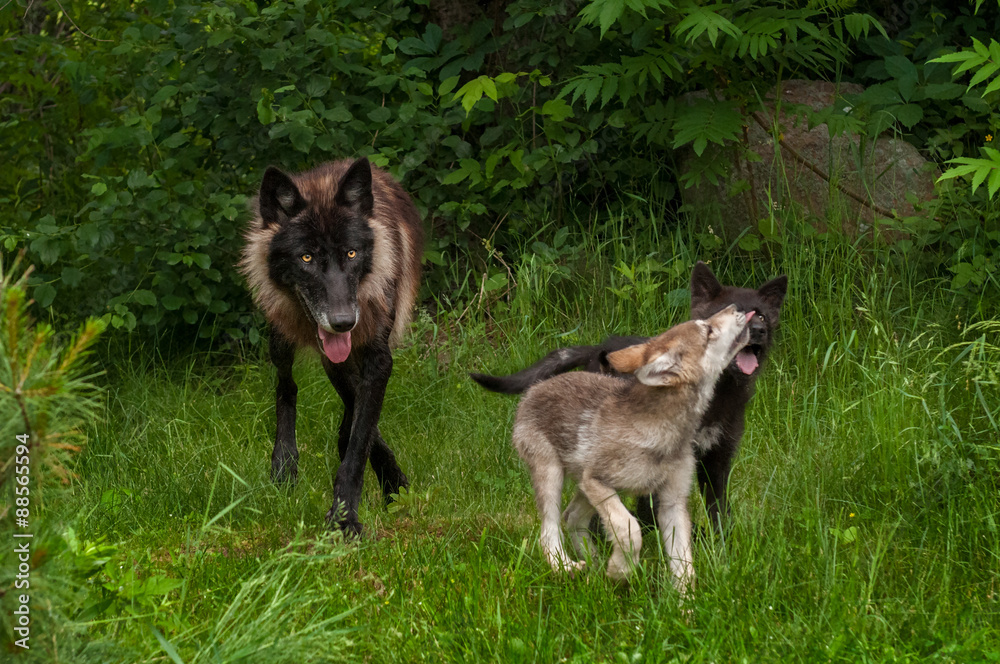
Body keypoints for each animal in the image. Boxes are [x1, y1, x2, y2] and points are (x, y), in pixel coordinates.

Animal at [240, 157, 423, 536]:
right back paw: (284, 465)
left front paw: (353, 510)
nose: (342, 322)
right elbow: (360, 425)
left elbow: (360, 435)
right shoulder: (336, 355)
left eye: (351, 253)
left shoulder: (377, 358)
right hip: (280, 339)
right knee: (286, 386)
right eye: (306, 258)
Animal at [472, 262, 787, 531]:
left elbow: (719, 510)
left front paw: (720, 548)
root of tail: (598, 347)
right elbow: (653, 507)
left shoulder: (719, 459)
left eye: (760, 314)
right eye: (724, 317)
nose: (758, 331)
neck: (718, 396)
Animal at [512, 306, 753, 589]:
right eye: (708, 330)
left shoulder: (672, 503)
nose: (736, 307)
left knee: (572, 517)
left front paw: (684, 601)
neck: (663, 429)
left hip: (586, 485)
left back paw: (594, 565)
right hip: (553, 476)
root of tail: (534, 389)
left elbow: (684, 566)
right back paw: (565, 567)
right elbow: (631, 529)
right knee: (549, 529)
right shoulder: (598, 482)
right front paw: (621, 570)